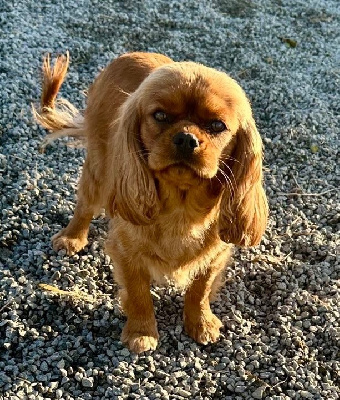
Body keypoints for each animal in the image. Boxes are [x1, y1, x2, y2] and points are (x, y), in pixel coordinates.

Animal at [33, 50, 268, 354]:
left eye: (217, 125)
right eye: (160, 116)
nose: (186, 138)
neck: (182, 208)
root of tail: (127, 55)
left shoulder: (215, 255)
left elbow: (200, 289)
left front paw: (201, 323)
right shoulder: (126, 253)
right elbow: (139, 294)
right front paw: (141, 333)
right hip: (98, 169)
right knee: (85, 205)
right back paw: (71, 237)